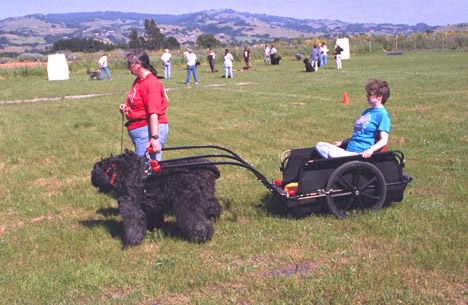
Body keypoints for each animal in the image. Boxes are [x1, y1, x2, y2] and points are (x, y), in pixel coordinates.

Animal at [92, 150, 224, 247]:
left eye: (94, 171)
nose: (92, 179)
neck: (122, 171)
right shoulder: (151, 207)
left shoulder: (130, 207)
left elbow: (133, 225)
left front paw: (131, 241)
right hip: (204, 196)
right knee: (213, 206)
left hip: (188, 204)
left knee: (197, 221)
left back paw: (203, 235)